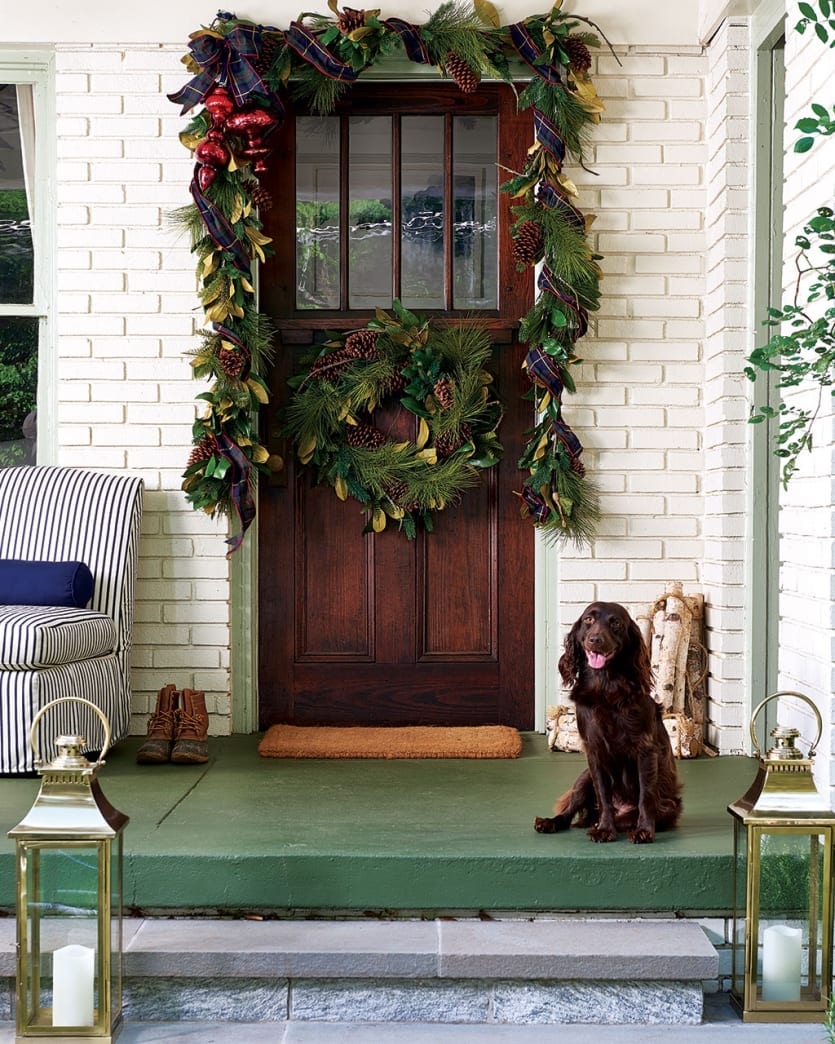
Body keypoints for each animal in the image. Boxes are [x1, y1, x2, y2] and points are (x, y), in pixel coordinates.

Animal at [538, 605, 680, 839]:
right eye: (588, 620)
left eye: (616, 623)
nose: (595, 639)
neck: (604, 687)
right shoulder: (594, 753)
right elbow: (603, 795)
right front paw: (605, 829)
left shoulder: (645, 750)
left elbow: (646, 795)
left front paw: (644, 830)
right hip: (584, 778)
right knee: (570, 811)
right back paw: (551, 823)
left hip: (669, 805)